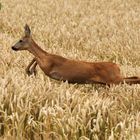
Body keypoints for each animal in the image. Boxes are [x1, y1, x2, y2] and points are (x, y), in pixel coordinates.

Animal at [11, 24, 140, 85]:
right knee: (133, 78)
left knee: (133, 79)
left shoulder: (48, 67)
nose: (12, 47)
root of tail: (117, 66)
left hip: (114, 79)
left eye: (20, 40)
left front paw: (31, 71)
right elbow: (34, 57)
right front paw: (30, 71)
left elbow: (35, 58)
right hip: (112, 81)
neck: (46, 56)